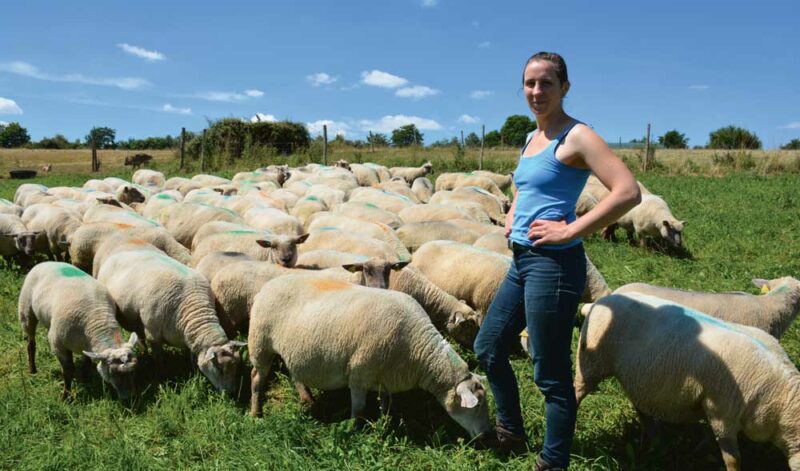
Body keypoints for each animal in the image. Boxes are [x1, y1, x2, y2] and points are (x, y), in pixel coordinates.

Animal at [17, 264, 139, 400]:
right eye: (113, 372)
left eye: (135, 369)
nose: (129, 397)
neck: (96, 318)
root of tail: (44, 263)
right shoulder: (58, 346)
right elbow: (68, 371)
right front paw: (66, 396)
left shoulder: (86, 346)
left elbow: (86, 364)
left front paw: (86, 380)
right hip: (26, 311)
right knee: (30, 343)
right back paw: (32, 370)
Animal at [96, 251, 244, 394]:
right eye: (219, 369)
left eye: (237, 365)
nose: (231, 393)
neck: (193, 308)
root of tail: (117, 254)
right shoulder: (153, 334)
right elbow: (159, 358)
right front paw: (160, 377)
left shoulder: (189, 336)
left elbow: (192, 358)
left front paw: (195, 373)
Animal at [248, 274, 494, 440]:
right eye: (477, 406)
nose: (486, 435)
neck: (417, 352)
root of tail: (267, 286)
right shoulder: (358, 375)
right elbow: (358, 409)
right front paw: (353, 429)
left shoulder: (387, 377)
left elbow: (386, 403)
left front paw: (385, 422)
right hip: (260, 343)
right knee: (256, 378)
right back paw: (255, 413)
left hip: (293, 348)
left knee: (295, 373)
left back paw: (307, 399)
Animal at [576, 294, 800, 470]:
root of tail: (602, 301)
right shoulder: (722, 414)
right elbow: (733, 459)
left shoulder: (716, 412)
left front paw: (698, 450)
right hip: (590, 363)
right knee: (577, 391)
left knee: (641, 408)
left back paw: (657, 444)